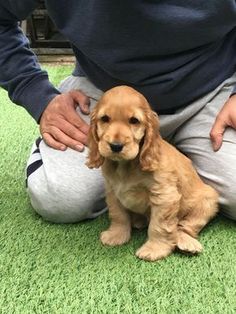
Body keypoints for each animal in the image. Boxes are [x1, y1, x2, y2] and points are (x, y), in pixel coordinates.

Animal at [86, 84, 218, 262]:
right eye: (105, 119)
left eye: (134, 121)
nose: (116, 146)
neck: (126, 166)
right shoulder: (112, 191)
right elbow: (118, 214)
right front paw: (116, 235)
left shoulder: (164, 196)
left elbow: (159, 225)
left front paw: (155, 249)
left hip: (208, 199)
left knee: (185, 226)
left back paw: (186, 242)